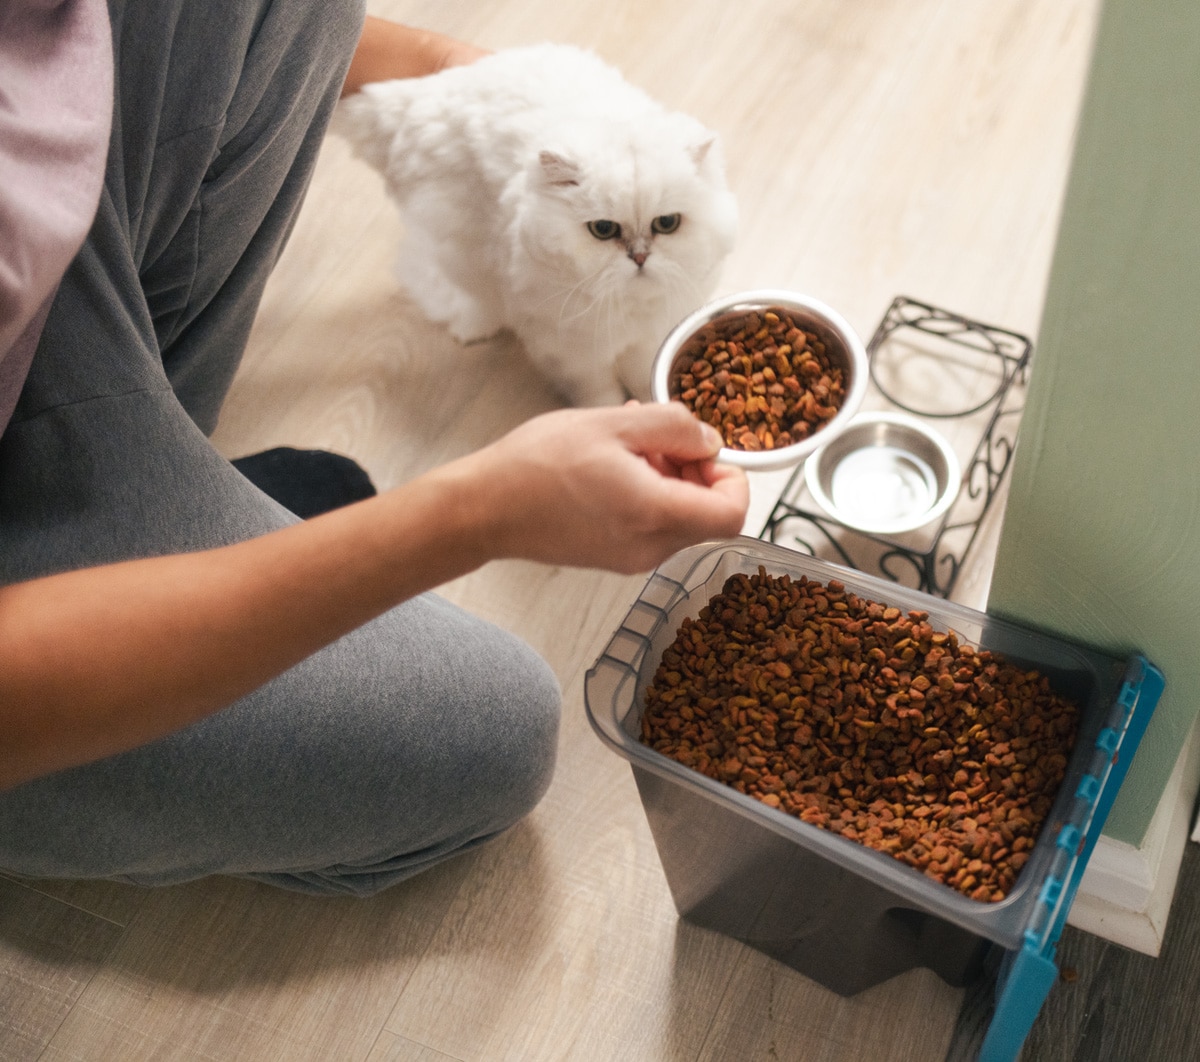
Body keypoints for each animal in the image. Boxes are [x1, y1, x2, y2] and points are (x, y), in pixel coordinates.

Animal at [333, 43, 734, 405]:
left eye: (666, 223)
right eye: (603, 230)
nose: (639, 257)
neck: (629, 306)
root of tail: (425, 94)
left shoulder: (650, 339)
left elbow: (642, 376)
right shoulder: (573, 353)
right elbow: (599, 395)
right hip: (465, 255)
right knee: (477, 299)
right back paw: (473, 330)